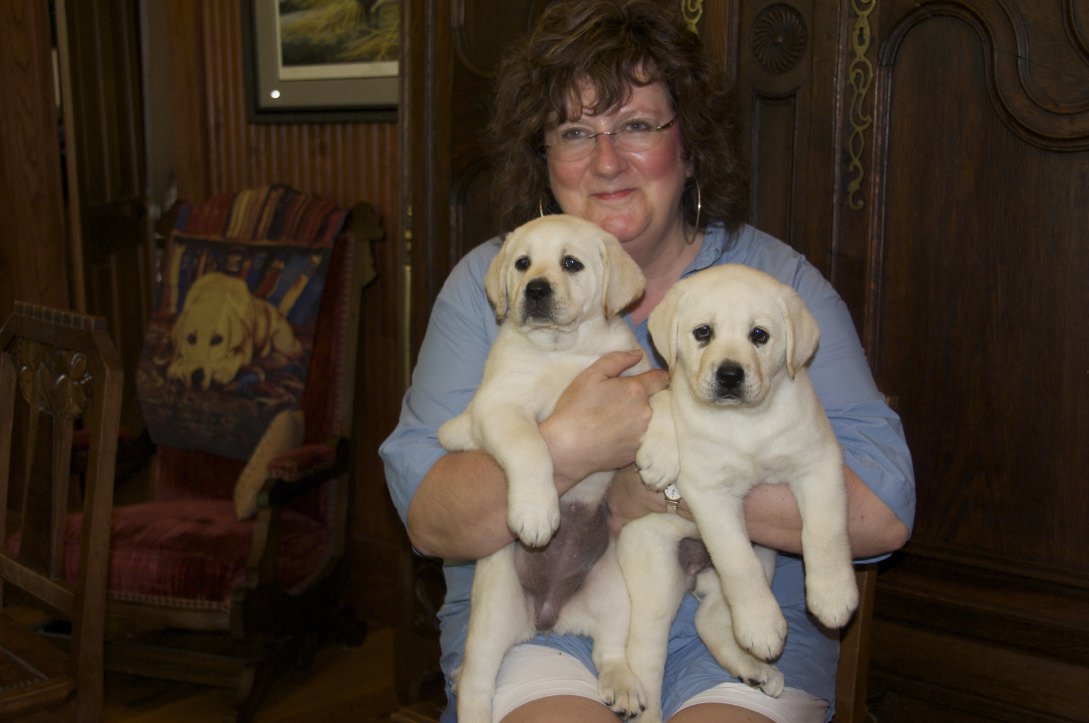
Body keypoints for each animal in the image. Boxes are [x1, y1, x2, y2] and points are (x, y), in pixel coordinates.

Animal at [168, 272, 303, 390]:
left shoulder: (246, 351)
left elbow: (239, 354)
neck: (214, 294)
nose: (196, 377)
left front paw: (224, 371)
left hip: (284, 343)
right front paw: (177, 366)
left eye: (217, 340)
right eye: (191, 338)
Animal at [438, 214, 649, 721]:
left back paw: (622, 684)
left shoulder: (635, 379)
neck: (562, 350)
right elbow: (531, 444)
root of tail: (548, 618)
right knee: (476, 682)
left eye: (571, 263)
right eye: (522, 263)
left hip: (614, 593)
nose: (535, 289)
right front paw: (536, 512)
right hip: (492, 615)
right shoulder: (499, 407)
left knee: (610, 650)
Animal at [619, 264, 858, 721]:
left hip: (763, 555)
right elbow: (736, 560)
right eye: (703, 332)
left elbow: (826, 531)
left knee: (709, 618)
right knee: (643, 658)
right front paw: (763, 625)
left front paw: (832, 595)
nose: (730, 375)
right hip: (655, 578)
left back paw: (757, 669)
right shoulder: (709, 493)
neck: (745, 423)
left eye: (759, 335)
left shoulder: (819, 463)